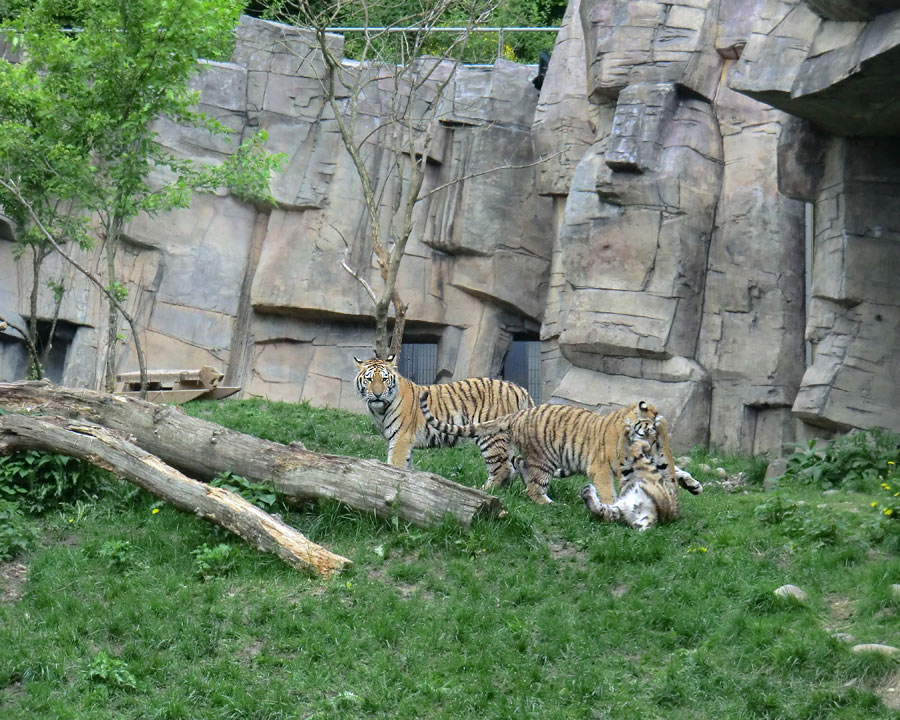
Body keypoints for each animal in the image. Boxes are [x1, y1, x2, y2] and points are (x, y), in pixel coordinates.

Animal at [354, 352, 536, 484]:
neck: (379, 410)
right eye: (369, 379)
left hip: (491, 434)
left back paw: (484, 490)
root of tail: (520, 389)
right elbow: (407, 466)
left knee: (503, 467)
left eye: (384, 379)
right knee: (512, 467)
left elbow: (395, 465)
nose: (378, 394)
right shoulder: (405, 442)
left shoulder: (401, 439)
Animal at [422, 388, 684, 506]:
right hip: (544, 459)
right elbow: (608, 492)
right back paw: (551, 504)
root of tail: (518, 414)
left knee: (520, 465)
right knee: (533, 488)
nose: (657, 445)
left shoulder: (627, 469)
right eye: (651, 427)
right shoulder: (601, 468)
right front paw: (611, 507)